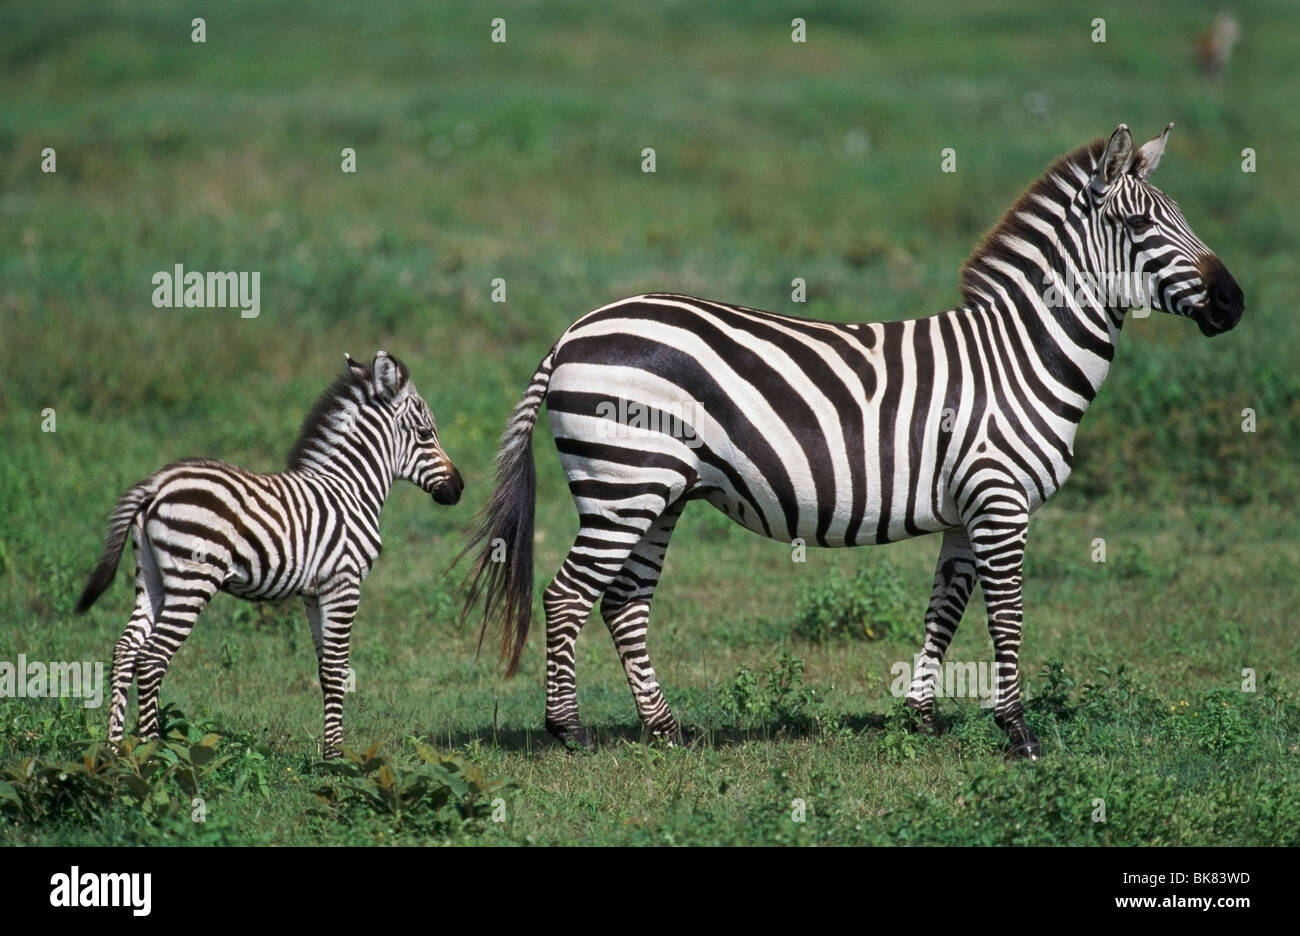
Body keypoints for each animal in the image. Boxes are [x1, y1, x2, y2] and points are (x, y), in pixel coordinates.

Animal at [75, 351, 464, 759]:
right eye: (426, 434)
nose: (459, 488)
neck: (350, 489)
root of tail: (156, 484)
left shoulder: (315, 592)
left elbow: (325, 670)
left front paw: (328, 752)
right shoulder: (344, 582)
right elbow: (338, 667)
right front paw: (337, 757)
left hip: (151, 577)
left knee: (125, 651)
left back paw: (114, 749)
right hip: (192, 579)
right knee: (151, 659)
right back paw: (155, 752)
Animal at [461, 123, 1243, 759]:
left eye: (1183, 217)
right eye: (1140, 225)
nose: (1234, 303)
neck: (1020, 356)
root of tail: (573, 330)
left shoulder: (967, 509)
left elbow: (945, 609)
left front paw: (922, 717)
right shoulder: (1000, 500)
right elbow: (1007, 615)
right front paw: (1018, 732)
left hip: (657, 491)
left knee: (623, 603)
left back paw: (666, 731)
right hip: (625, 484)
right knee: (567, 596)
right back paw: (570, 732)